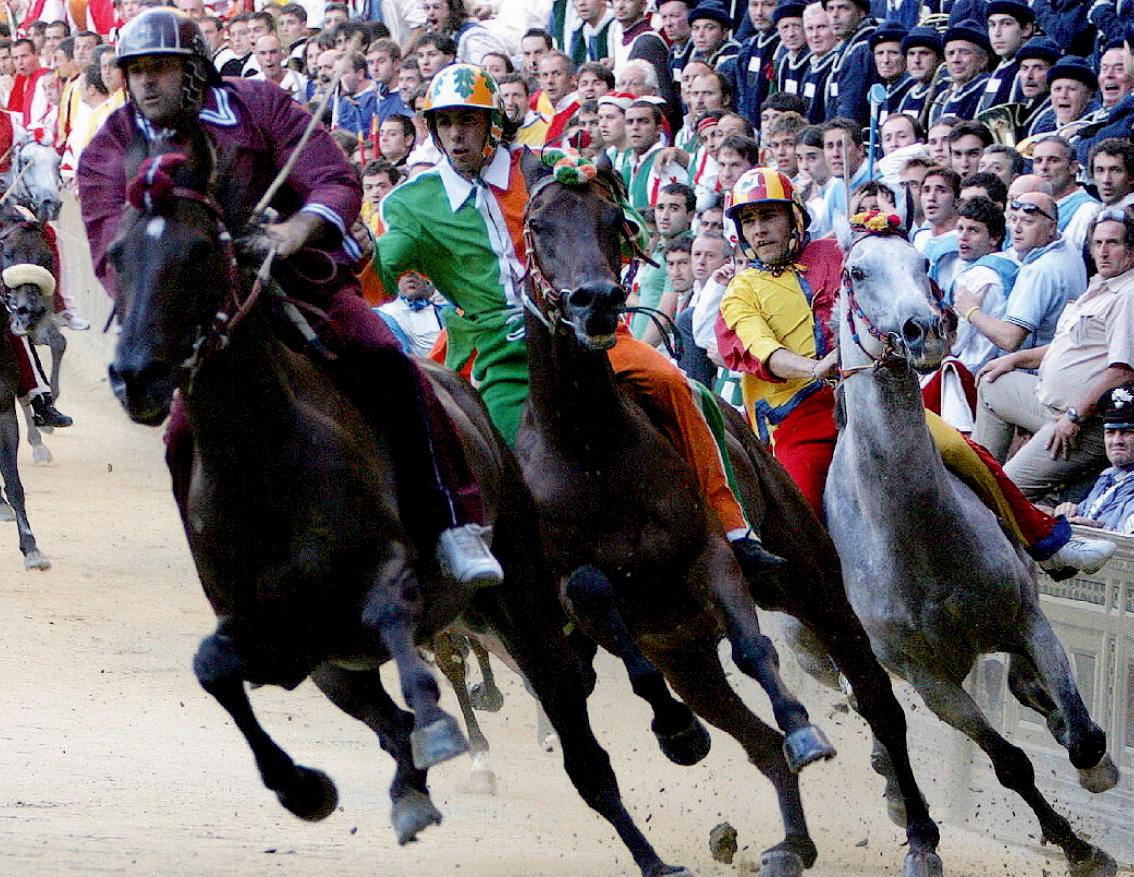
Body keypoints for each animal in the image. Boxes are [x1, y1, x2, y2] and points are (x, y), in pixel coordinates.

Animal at [106, 124, 689, 875]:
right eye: (117, 255)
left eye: (201, 248)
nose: (136, 375)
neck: (263, 462)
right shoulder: (290, 643)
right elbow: (214, 668)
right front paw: (306, 788)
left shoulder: (397, 577)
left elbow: (392, 616)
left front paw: (435, 732)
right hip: (359, 661)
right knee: (398, 719)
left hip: (519, 597)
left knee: (578, 734)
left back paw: (655, 822)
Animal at [519, 157, 943, 875]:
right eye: (540, 225)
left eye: (611, 222)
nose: (595, 301)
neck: (589, 447)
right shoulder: (579, 593)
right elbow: (594, 593)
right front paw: (677, 732)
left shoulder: (707, 553)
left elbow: (752, 645)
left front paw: (804, 727)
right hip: (686, 653)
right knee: (755, 740)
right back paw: (790, 839)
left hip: (811, 581)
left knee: (876, 703)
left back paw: (916, 830)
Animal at [830, 228, 1120, 875]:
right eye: (858, 271)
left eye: (922, 262)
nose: (925, 328)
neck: (919, 540)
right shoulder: (928, 677)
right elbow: (1008, 761)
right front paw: (1081, 848)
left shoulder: (1026, 619)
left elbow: (1081, 732)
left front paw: (1094, 776)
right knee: (882, 721)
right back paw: (911, 821)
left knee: (1029, 691)